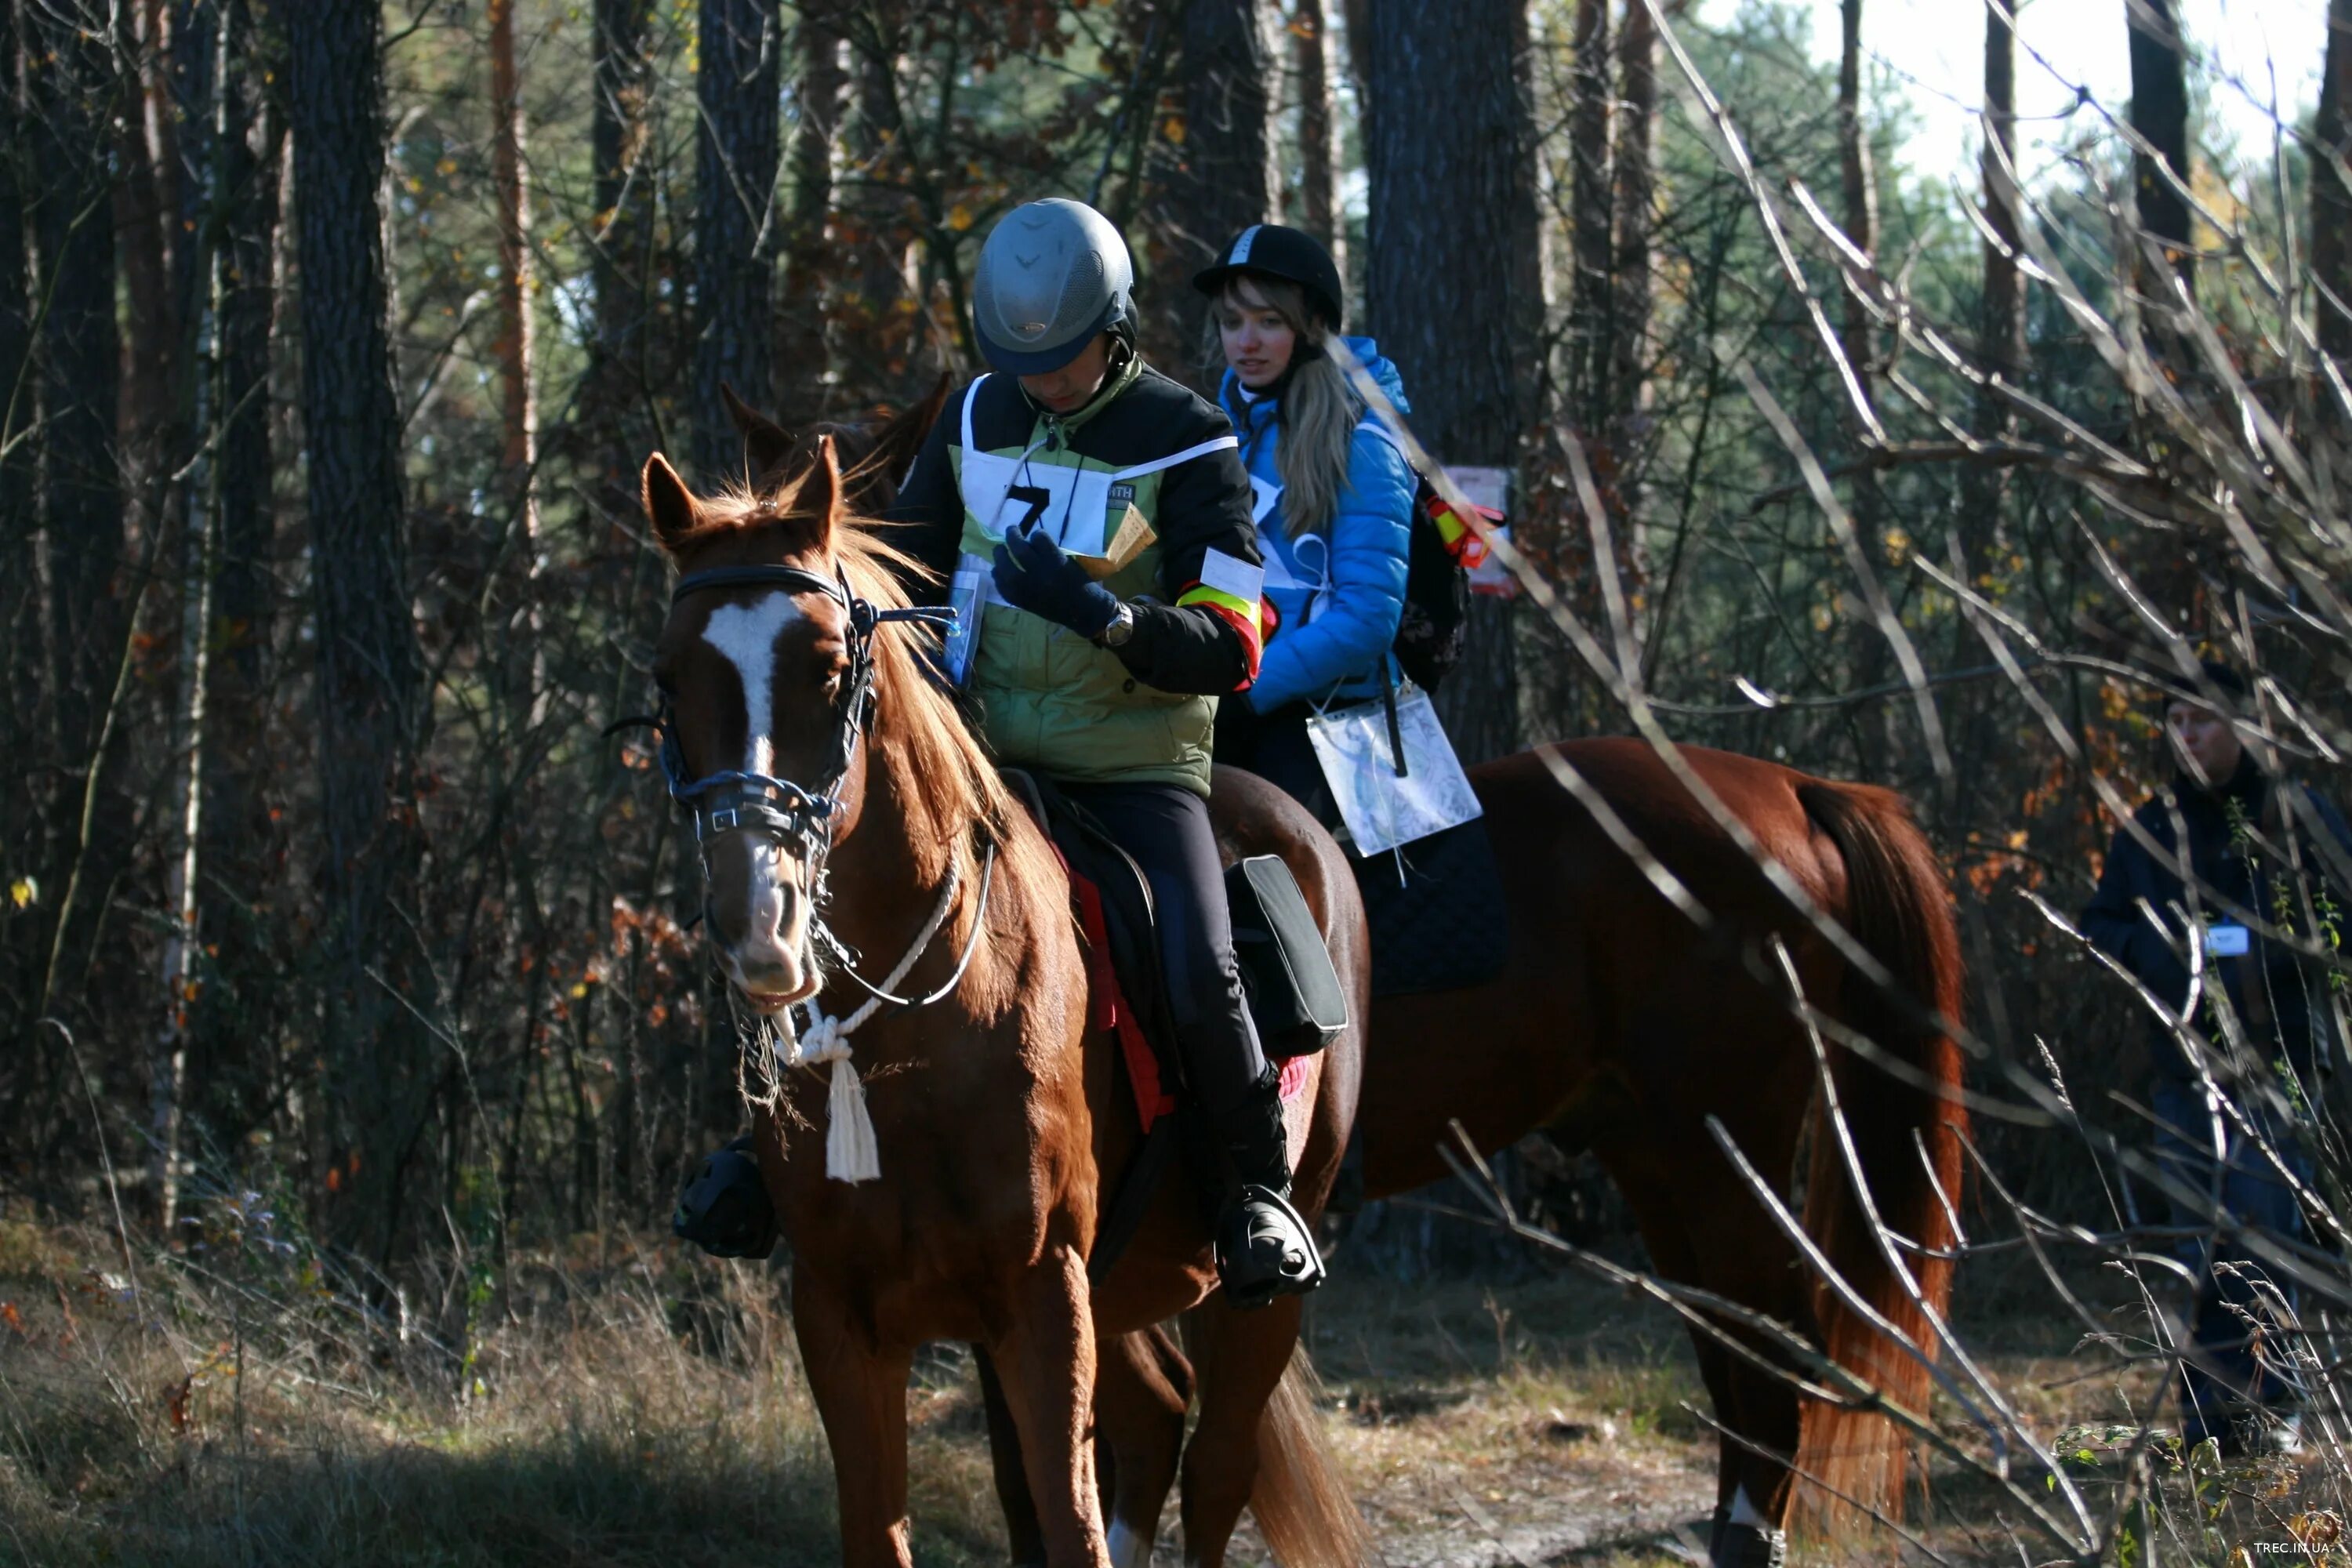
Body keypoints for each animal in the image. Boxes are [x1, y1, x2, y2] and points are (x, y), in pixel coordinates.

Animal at [644, 432, 1374, 1568]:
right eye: (670, 677)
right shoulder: (844, 1316)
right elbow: (897, 1528)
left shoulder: (1041, 1300)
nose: (758, 918)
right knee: (1155, 1417)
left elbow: (1070, 1524)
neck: (915, 1038)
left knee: (1218, 1465)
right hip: (1119, 1290)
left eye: (828, 668)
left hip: (1251, 1291)